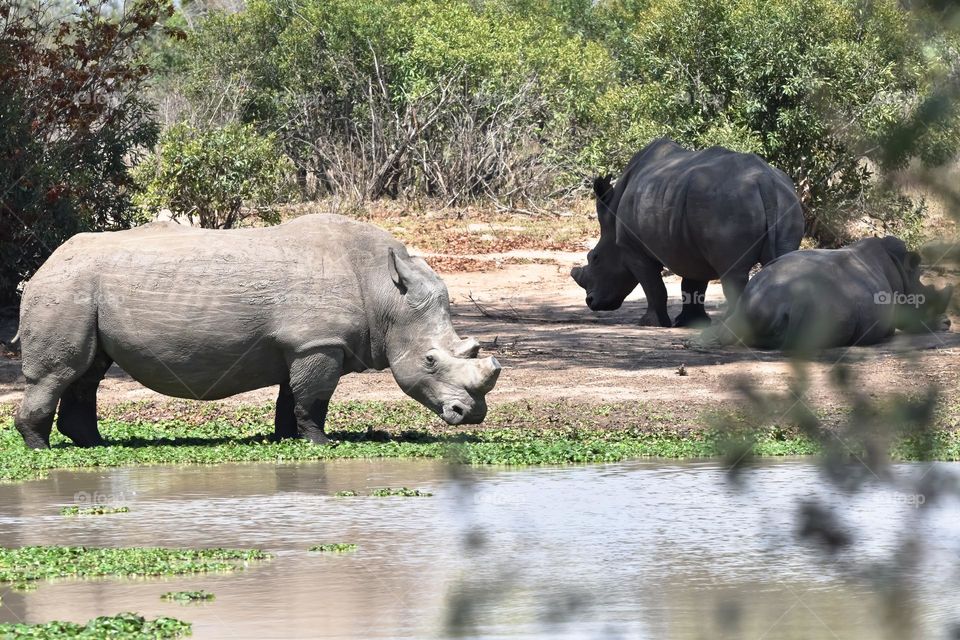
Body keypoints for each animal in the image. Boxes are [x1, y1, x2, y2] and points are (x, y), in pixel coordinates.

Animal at [14, 214, 501, 449]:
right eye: (430, 360)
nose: (470, 414)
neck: (387, 295)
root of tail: (45, 264)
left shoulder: (301, 345)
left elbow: (292, 397)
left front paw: (289, 438)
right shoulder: (318, 343)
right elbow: (314, 398)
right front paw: (323, 443)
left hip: (81, 288)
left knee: (88, 373)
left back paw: (94, 445)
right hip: (66, 287)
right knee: (60, 373)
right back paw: (42, 450)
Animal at [571, 138, 804, 327]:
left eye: (595, 258)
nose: (590, 301)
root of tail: (764, 180)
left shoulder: (632, 249)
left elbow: (653, 286)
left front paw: (649, 323)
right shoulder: (691, 247)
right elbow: (693, 285)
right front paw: (691, 322)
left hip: (728, 204)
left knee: (733, 272)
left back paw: (729, 324)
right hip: (784, 198)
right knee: (782, 263)